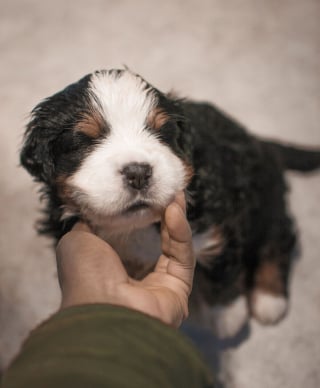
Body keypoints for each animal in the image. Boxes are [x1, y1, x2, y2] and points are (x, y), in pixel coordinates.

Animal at [20, 69, 320, 336]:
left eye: (161, 133)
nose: (138, 173)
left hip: (267, 196)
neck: (139, 227)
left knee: (278, 237)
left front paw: (226, 317)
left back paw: (270, 300)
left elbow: (223, 270)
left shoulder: (223, 220)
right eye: (83, 141)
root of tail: (259, 141)